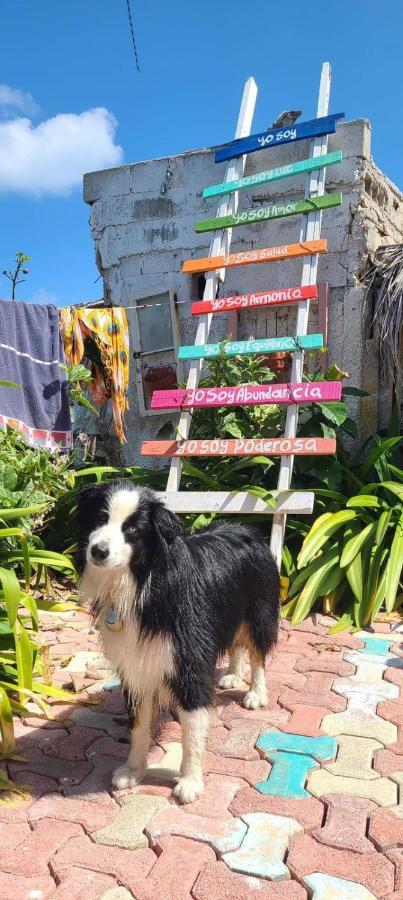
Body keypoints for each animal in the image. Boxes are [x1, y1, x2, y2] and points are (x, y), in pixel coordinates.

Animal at [78, 482, 280, 804]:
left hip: (259, 609)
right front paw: (133, 770)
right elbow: (138, 726)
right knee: (236, 644)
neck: (142, 582)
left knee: (257, 652)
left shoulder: (190, 660)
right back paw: (233, 675)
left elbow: (192, 730)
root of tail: (245, 528)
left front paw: (190, 781)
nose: (98, 551)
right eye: (100, 518)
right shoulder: (137, 664)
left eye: (133, 528)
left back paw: (256, 693)